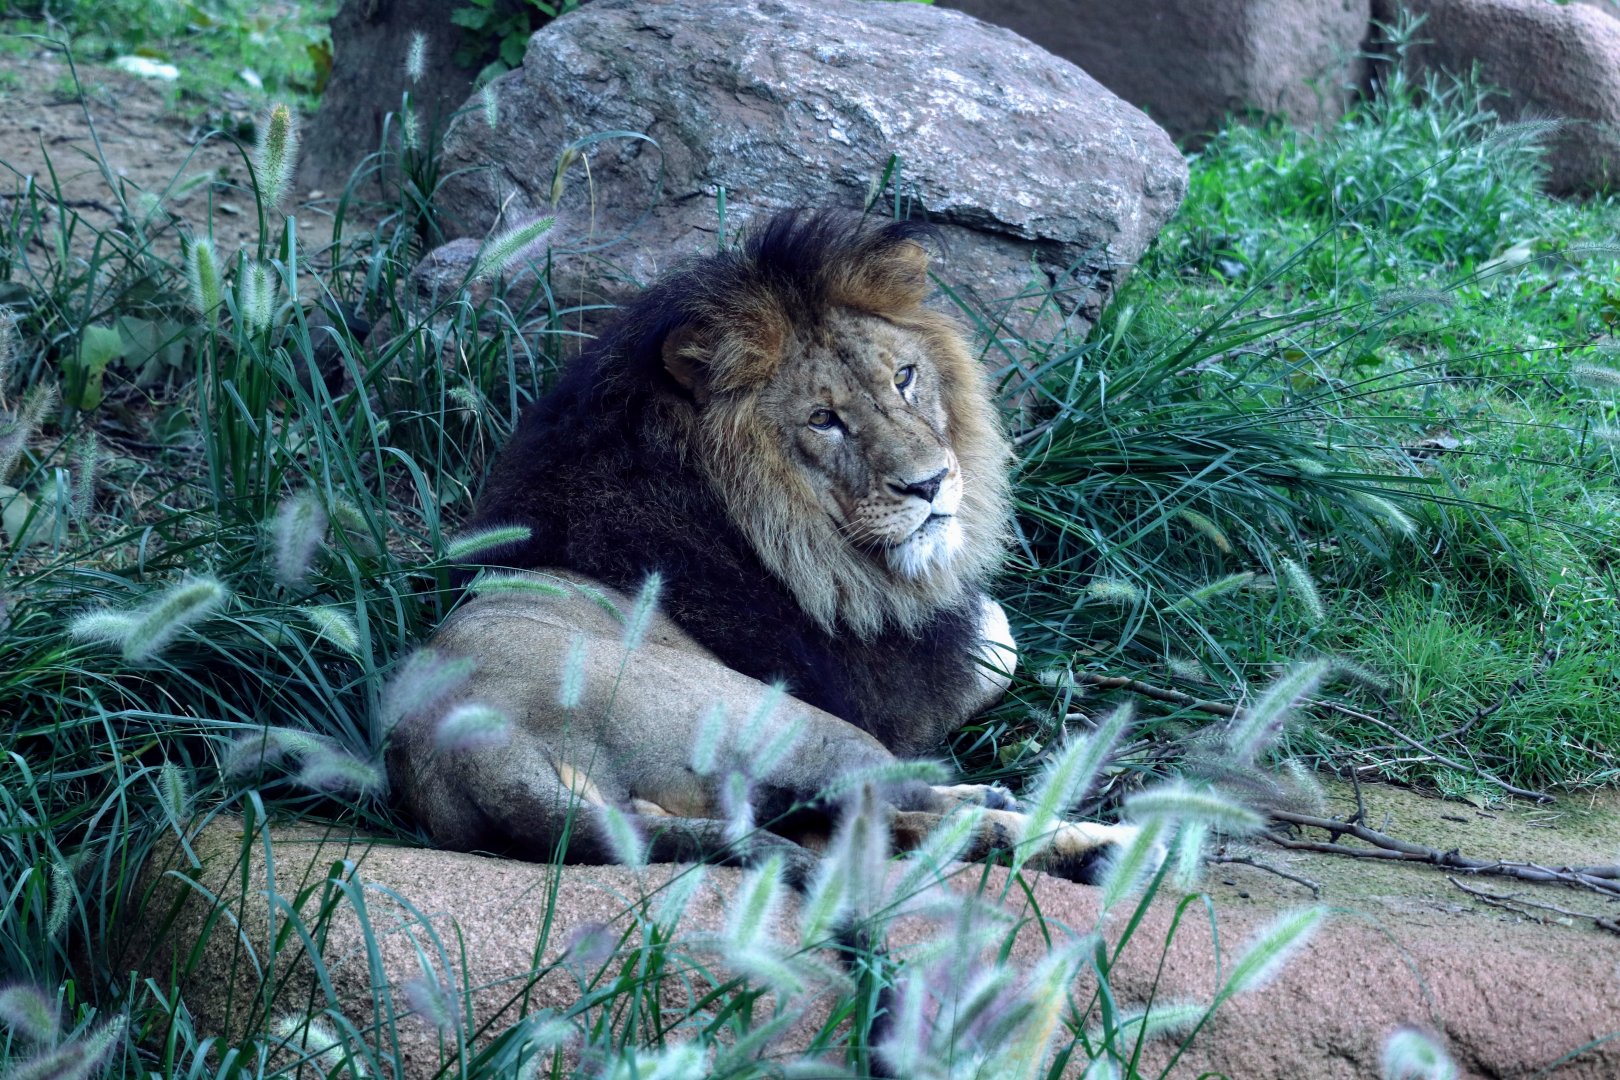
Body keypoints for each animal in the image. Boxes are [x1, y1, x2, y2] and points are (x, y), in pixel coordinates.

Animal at [385, 210, 1147, 887]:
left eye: (903, 376)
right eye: (823, 419)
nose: (929, 484)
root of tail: (473, 753)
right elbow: (997, 638)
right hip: (791, 721)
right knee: (889, 803)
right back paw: (1105, 844)